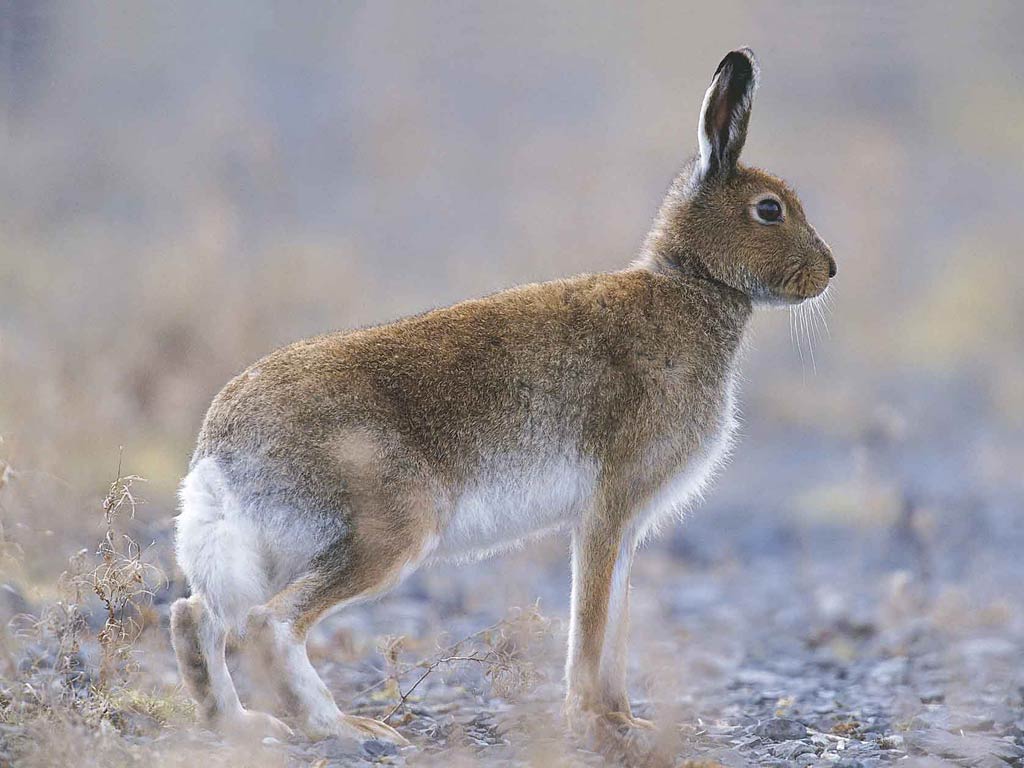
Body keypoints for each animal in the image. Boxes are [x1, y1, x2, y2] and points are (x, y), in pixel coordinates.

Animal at [170, 46, 835, 744]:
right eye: (770, 210)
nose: (829, 270)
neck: (694, 283)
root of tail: (220, 452)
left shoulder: (624, 525)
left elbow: (616, 625)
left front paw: (627, 720)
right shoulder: (608, 508)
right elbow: (593, 623)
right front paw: (595, 723)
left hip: (267, 547)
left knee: (197, 615)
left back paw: (238, 723)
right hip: (389, 528)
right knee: (270, 623)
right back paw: (349, 727)